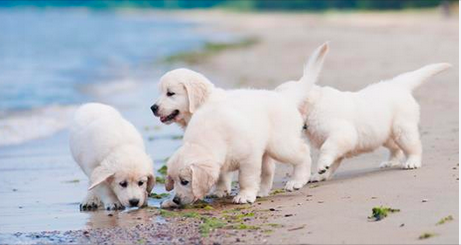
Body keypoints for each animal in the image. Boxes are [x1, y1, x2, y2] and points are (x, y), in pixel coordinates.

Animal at [274, 46, 452, 182]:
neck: (314, 106)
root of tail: (397, 84)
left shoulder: (342, 134)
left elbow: (327, 148)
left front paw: (322, 166)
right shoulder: (340, 143)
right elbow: (333, 159)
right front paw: (320, 175)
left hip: (402, 129)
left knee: (413, 146)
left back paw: (412, 162)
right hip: (384, 134)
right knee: (396, 148)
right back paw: (391, 162)